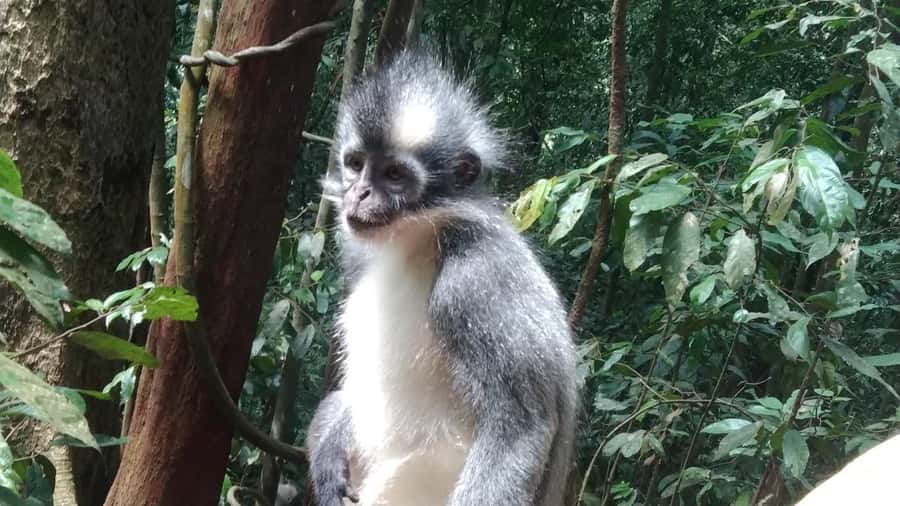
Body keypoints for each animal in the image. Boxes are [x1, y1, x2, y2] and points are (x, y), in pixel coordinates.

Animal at [305, 49, 578, 506]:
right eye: (356, 165)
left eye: (394, 175)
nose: (358, 193)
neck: (416, 238)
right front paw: (328, 458)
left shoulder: (477, 278)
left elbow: (522, 424)